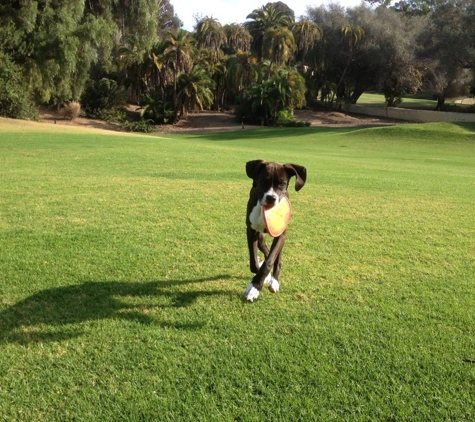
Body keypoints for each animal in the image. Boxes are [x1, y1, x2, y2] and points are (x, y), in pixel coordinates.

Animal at [245, 160, 308, 302]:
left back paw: (274, 281)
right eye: (263, 181)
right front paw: (261, 277)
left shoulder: (281, 235)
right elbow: (253, 263)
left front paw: (255, 287)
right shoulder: (251, 231)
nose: (271, 198)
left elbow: (270, 261)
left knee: (276, 258)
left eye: (282, 184)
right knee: (266, 250)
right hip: (261, 237)